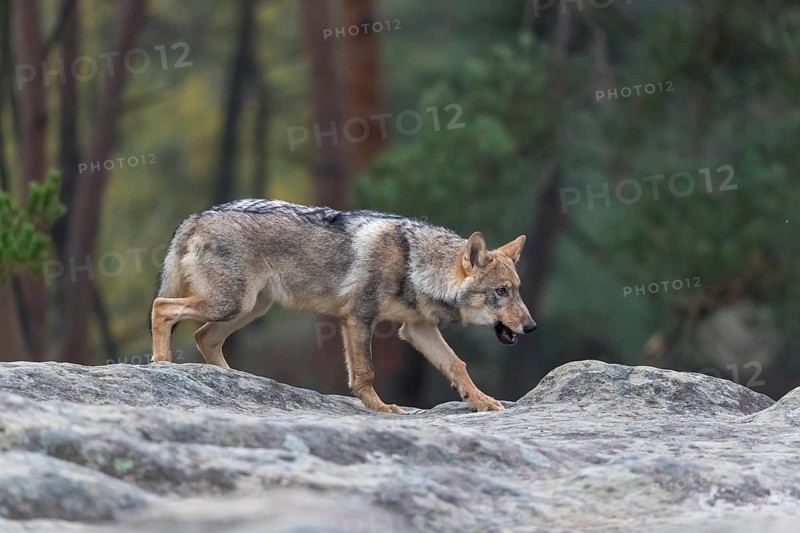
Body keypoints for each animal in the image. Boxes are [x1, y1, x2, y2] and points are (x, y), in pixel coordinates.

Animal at [150, 199, 537, 413]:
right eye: (501, 291)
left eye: (517, 291)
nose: (532, 327)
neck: (415, 263)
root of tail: (198, 216)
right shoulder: (358, 317)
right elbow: (365, 372)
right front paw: (381, 408)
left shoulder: (417, 329)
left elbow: (457, 365)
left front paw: (481, 401)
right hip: (230, 304)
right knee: (161, 305)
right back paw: (162, 363)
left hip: (248, 309)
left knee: (204, 337)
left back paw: (233, 379)